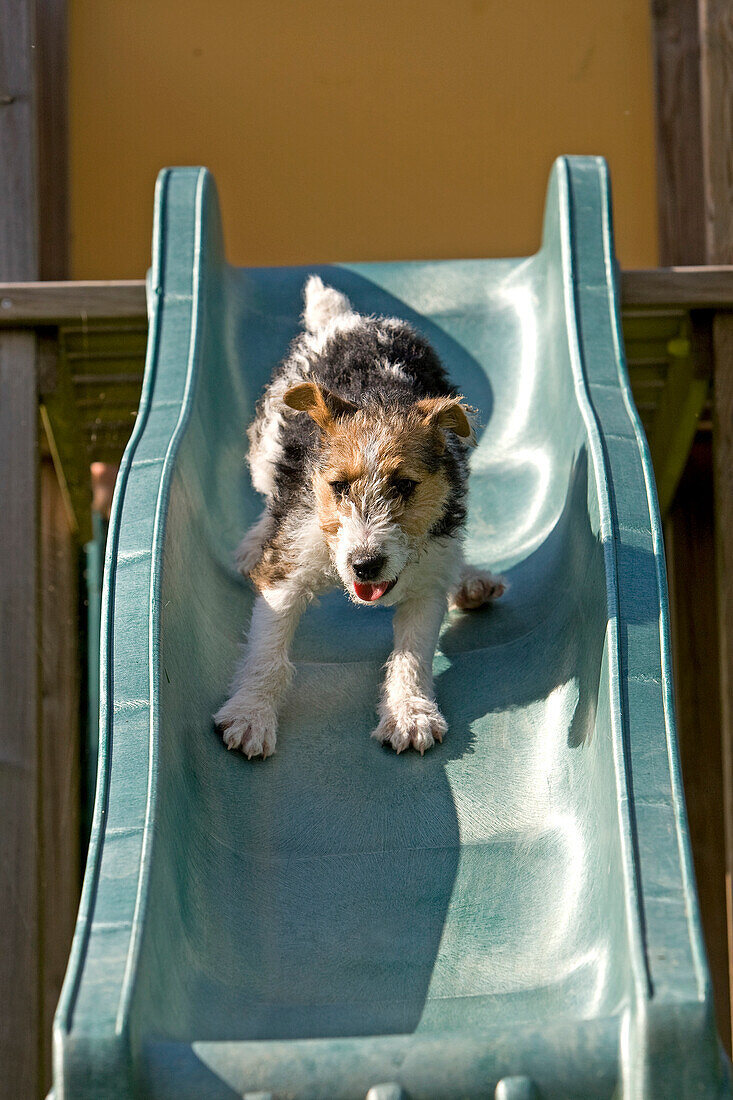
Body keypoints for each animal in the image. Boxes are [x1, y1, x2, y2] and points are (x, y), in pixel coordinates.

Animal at [212, 275, 501, 756]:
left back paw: (472, 580)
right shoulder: (289, 571)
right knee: (270, 493)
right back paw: (253, 545)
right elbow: (267, 651)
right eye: (339, 487)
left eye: (404, 486)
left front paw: (409, 713)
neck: (380, 396)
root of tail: (349, 319)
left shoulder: (426, 584)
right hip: (267, 445)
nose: (365, 564)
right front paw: (251, 714)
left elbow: (412, 653)